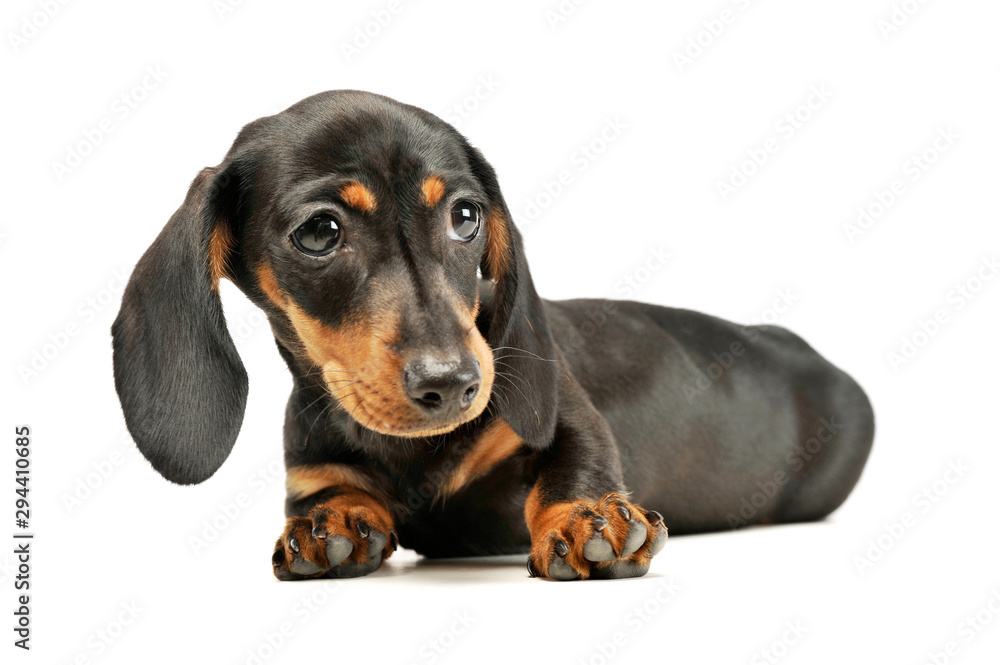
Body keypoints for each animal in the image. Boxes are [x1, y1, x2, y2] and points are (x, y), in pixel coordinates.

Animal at [111, 89, 876, 580]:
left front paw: (586, 519)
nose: (454, 384)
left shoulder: (563, 411)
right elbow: (328, 493)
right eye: (321, 232)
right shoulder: (312, 470)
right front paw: (332, 525)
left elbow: (576, 460)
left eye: (466, 215)